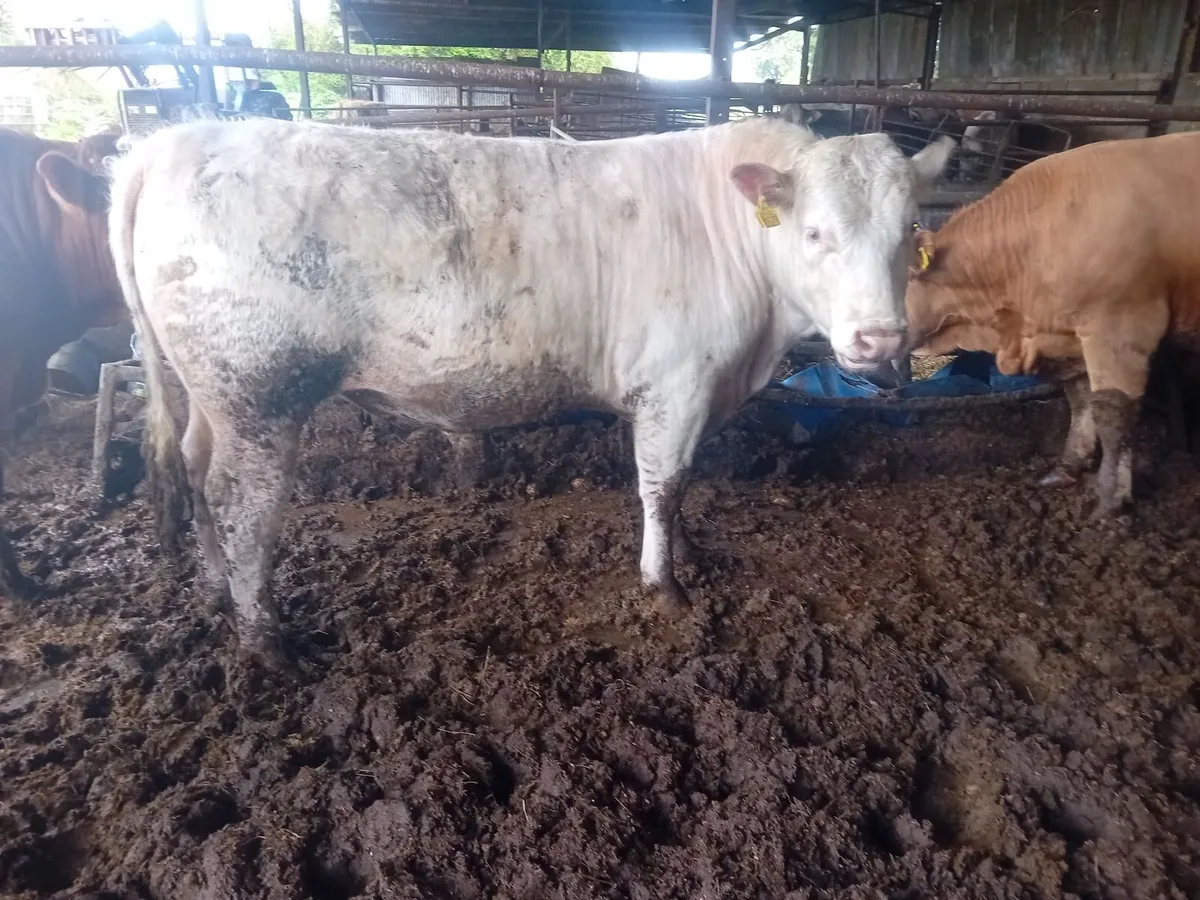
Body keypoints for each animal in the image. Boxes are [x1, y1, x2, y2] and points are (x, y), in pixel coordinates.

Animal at [110, 116, 952, 665]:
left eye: (910, 230)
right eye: (815, 234)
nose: (881, 342)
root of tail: (172, 139)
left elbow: (681, 487)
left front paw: (688, 554)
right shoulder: (675, 385)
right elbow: (664, 484)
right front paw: (664, 584)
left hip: (213, 395)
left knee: (194, 472)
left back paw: (215, 592)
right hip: (260, 393)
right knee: (238, 505)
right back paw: (268, 640)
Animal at [905, 131, 1200, 516]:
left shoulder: (1121, 327)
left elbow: (1113, 413)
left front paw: (1111, 500)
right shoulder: (1065, 337)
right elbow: (1080, 398)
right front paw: (1068, 467)